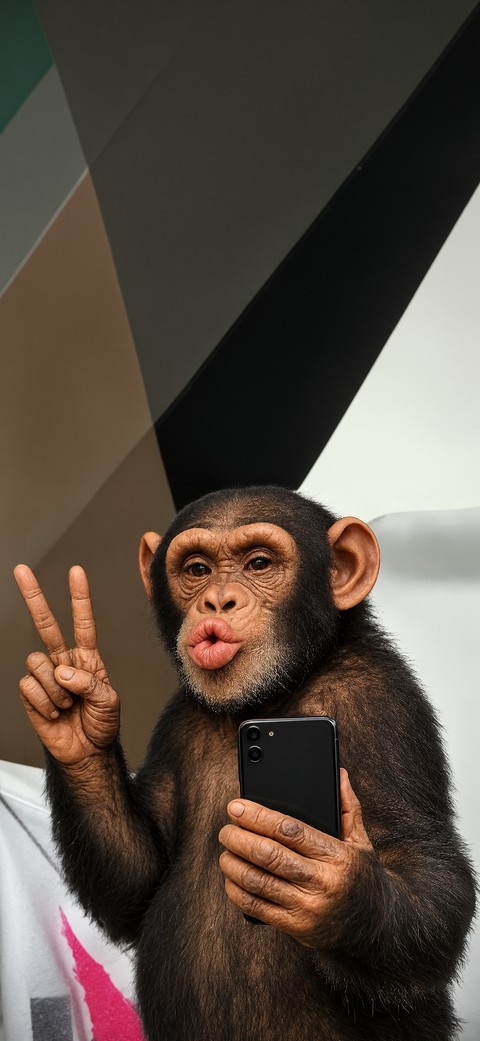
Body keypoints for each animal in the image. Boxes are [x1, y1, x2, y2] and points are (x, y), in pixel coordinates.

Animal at [14, 486, 476, 1041]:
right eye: (196, 569)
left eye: (259, 563)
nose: (218, 600)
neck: (272, 696)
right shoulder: (175, 720)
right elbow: (139, 882)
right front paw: (76, 709)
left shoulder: (382, 705)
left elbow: (426, 868)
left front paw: (330, 889)